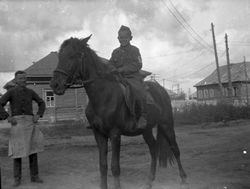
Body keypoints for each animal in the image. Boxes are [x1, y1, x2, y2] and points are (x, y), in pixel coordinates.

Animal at [49, 35, 187, 189]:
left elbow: (115, 167)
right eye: (60, 56)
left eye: (72, 56)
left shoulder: (115, 134)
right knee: (153, 148)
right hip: (146, 130)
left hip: (166, 124)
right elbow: (103, 166)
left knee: (175, 149)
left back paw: (183, 180)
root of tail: (162, 90)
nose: (55, 84)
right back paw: (149, 181)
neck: (103, 95)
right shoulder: (99, 134)